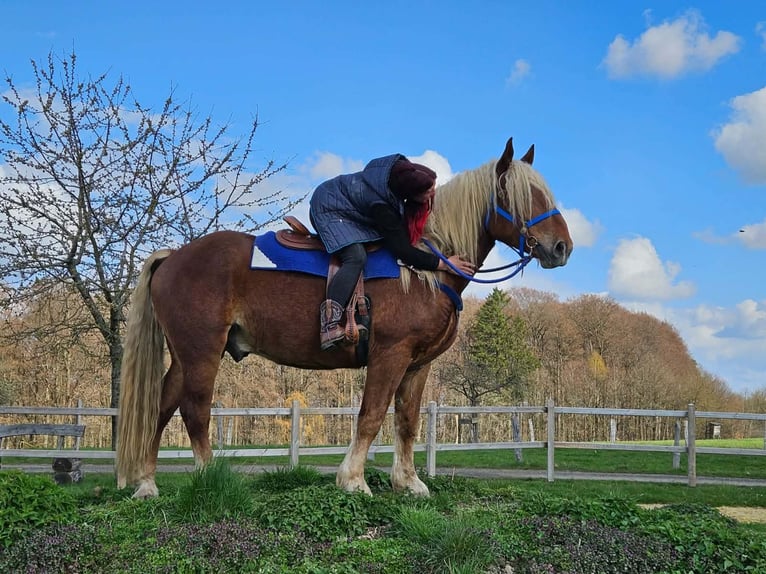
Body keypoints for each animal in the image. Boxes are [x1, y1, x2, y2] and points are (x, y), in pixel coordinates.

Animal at [116, 137, 573, 498]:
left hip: (183, 354)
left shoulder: (417, 365)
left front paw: (408, 483)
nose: (561, 247)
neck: (422, 270)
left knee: (160, 407)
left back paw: (147, 484)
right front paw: (353, 480)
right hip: (202, 352)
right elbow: (371, 416)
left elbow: (406, 422)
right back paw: (208, 476)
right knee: (195, 410)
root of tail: (174, 256)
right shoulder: (390, 355)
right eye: (518, 195)